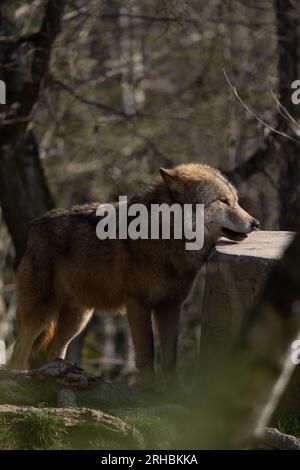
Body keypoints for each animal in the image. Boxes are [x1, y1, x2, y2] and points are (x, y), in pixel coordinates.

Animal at [10, 163, 258, 384]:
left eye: (235, 200)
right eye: (223, 200)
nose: (255, 223)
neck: (167, 237)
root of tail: (33, 226)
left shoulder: (170, 306)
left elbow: (170, 356)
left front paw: (173, 391)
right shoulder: (138, 304)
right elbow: (147, 352)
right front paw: (148, 389)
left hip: (78, 319)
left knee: (52, 349)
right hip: (42, 314)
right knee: (19, 350)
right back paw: (21, 378)